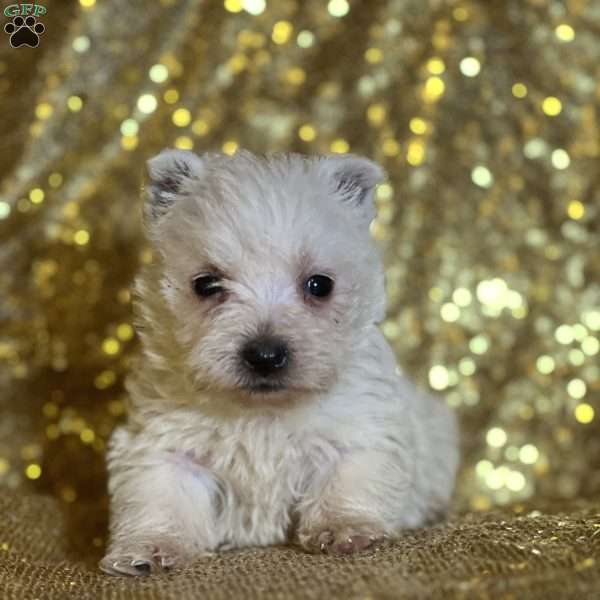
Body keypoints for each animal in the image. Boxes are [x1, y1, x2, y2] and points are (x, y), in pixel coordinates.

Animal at [99, 149, 460, 576]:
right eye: (206, 284)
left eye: (320, 284)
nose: (265, 356)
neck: (263, 412)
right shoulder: (162, 440)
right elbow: (161, 495)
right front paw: (149, 549)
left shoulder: (360, 428)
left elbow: (348, 478)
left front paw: (346, 530)